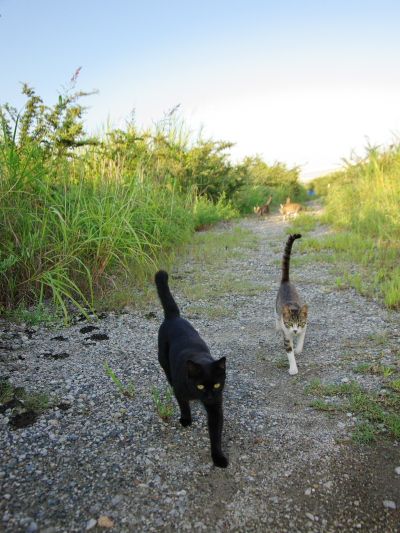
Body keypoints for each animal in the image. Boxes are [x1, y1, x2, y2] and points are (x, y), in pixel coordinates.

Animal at [155, 270, 228, 466]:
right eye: (201, 385)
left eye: (216, 385)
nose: (209, 396)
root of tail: (174, 317)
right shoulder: (181, 391)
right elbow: (183, 404)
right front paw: (186, 419)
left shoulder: (216, 406)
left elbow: (215, 434)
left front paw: (218, 458)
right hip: (163, 361)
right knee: (169, 377)